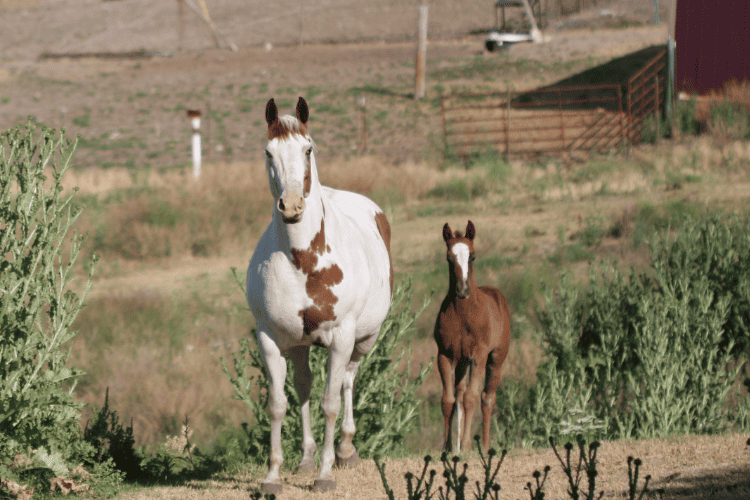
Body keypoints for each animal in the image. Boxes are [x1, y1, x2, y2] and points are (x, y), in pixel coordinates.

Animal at [248, 96, 400, 492]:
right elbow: (278, 404)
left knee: (347, 381)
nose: (291, 206)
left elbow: (330, 402)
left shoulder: (342, 336)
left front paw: (326, 473)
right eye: (268, 152)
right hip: (300, 345)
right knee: (303, 388)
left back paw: (346, 449)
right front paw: (272, 475)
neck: (303, 261)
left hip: (363, 340)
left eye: (308, 149)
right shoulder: (270, 339)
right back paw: (305, 459)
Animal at [434, 221, 512, 456]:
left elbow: (471, 398)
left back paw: (485, 445)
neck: (463, 314)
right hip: (461, 362)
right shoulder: (444, 355)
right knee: (459, 394)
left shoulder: (479, 355)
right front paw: (448, 447)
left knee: (487, 397)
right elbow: (449, 400)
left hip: (495, 359)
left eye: (473, 256)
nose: (462, 290)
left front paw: (467, 445)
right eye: (449, 257)